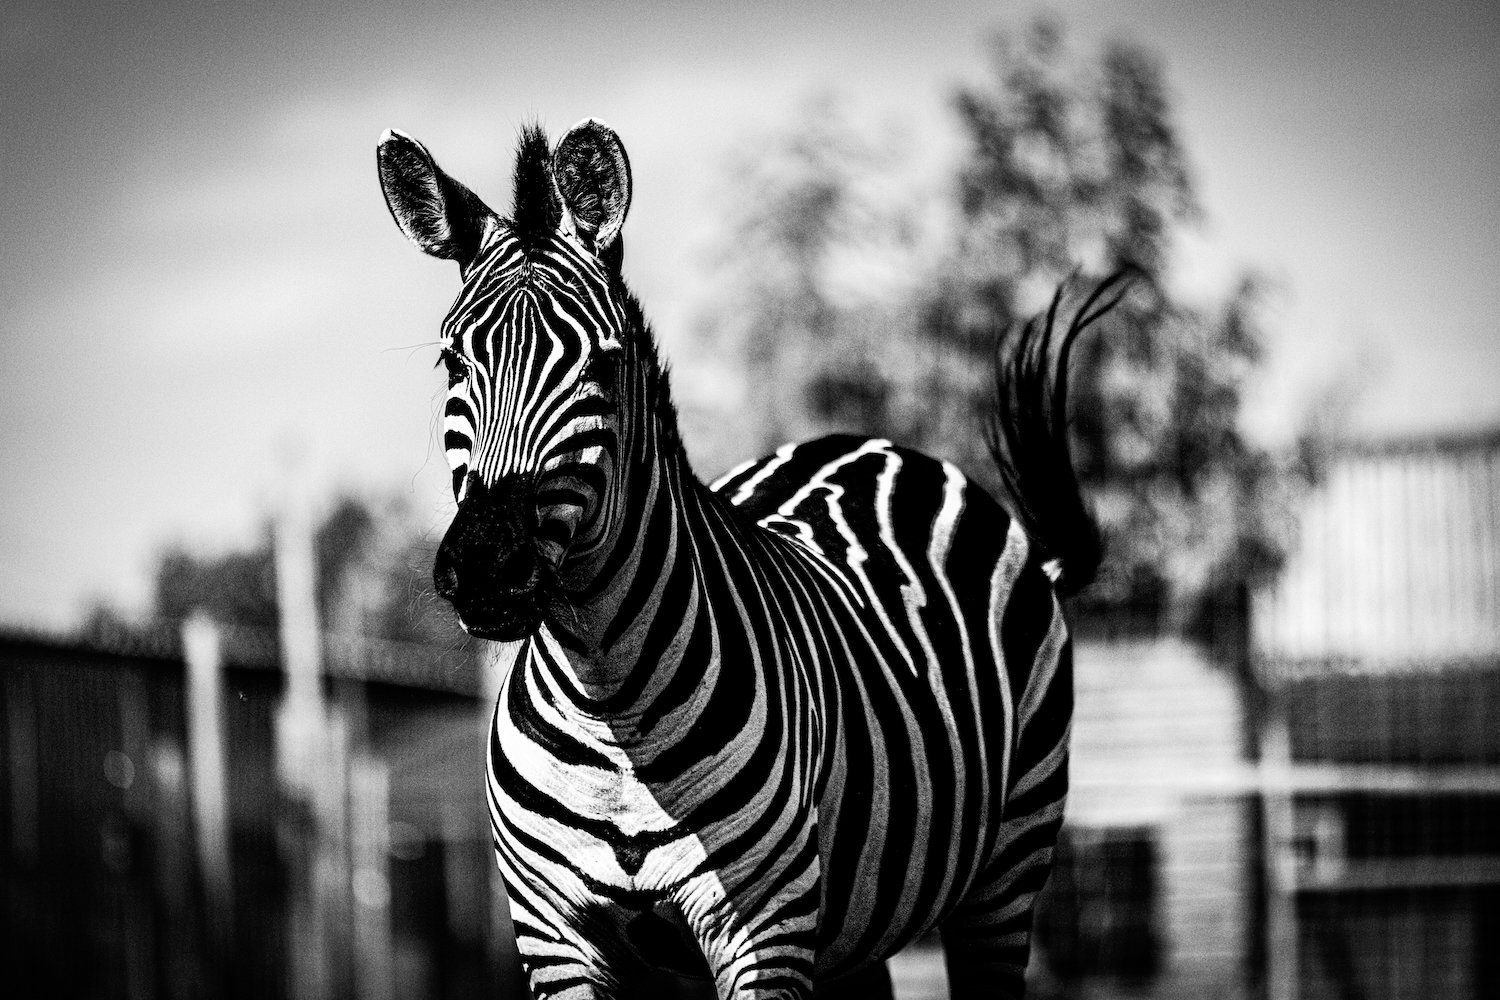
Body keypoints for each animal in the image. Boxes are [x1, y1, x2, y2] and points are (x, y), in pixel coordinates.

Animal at [377, 118, 1122, 1000]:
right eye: (453, 363)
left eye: (603, 362)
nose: (488, 566)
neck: (605, 696)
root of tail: (879, 446)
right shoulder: (552, 937)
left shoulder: (763, 927)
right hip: (857, 932)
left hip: (1007, 866)